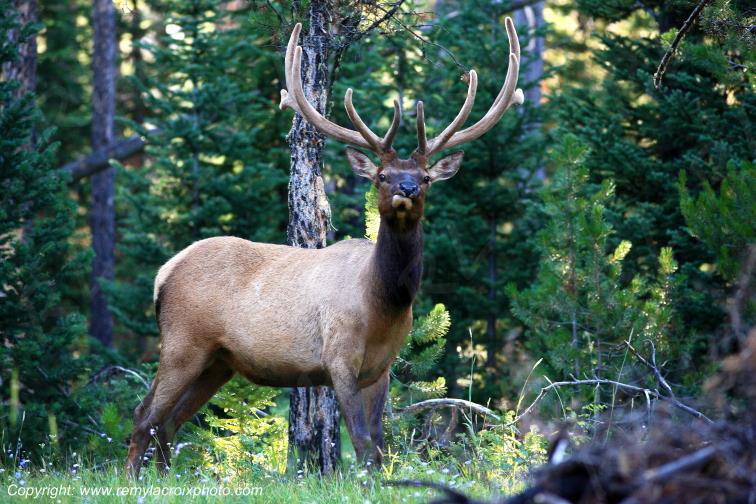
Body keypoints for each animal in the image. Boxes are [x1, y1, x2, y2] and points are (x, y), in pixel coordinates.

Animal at [125, 18, 523, 478]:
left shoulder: (381, 368)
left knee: (168, 423)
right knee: (144, 415)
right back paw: (134, 479)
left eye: (424, 178)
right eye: (382, 175)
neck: (383, 302)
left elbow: (379, 446)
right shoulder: (338, 356)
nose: (406, 188)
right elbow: (364, 445)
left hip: (218, 361)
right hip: (182, 342)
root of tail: (165, 272)